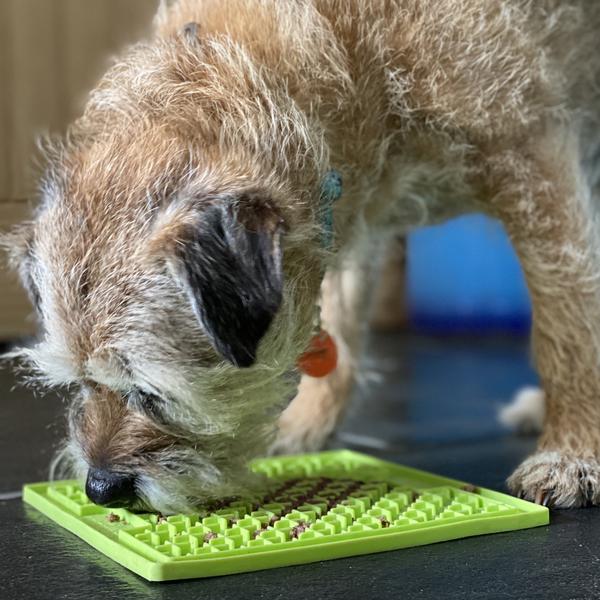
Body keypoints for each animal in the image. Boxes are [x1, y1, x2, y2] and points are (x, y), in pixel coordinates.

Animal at [3, 0, 600, 513]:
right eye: (80, 381)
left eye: (153, 393)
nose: (100, 489)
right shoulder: (346, 217)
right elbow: (339, 328)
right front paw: (306, 427)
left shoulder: (532, 163)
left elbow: (566, 327)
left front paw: (571, 453)